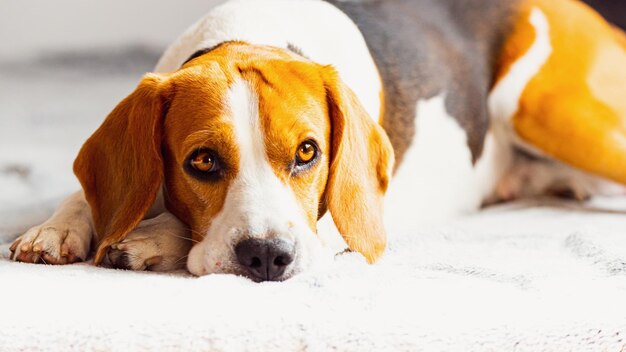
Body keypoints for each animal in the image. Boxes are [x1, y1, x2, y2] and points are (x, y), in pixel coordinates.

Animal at [8, 0, 624, 280]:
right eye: (202, 161)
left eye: (309, 153)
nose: (266, 257)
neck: (252, 35)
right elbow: (85, 197)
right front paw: (56, 228)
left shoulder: (340, 225)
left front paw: (150, 239)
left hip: (552, 112)